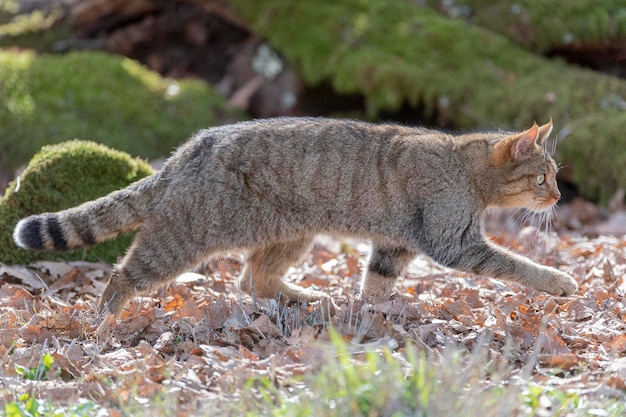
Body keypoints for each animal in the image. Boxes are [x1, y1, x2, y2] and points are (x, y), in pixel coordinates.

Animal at [12, 115, 576, 314]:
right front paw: (559, 281)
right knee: (122, 274)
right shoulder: (453, 241)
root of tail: (187, 149)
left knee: (252, 280)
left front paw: (376, 315)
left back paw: (305, 297)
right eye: (544, 177)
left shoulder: (396, 243)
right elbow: (517, 266)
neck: (464, 163)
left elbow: (377, 282)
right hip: (185, 237)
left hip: (292, 234)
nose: (557, 198)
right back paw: (104, 323)